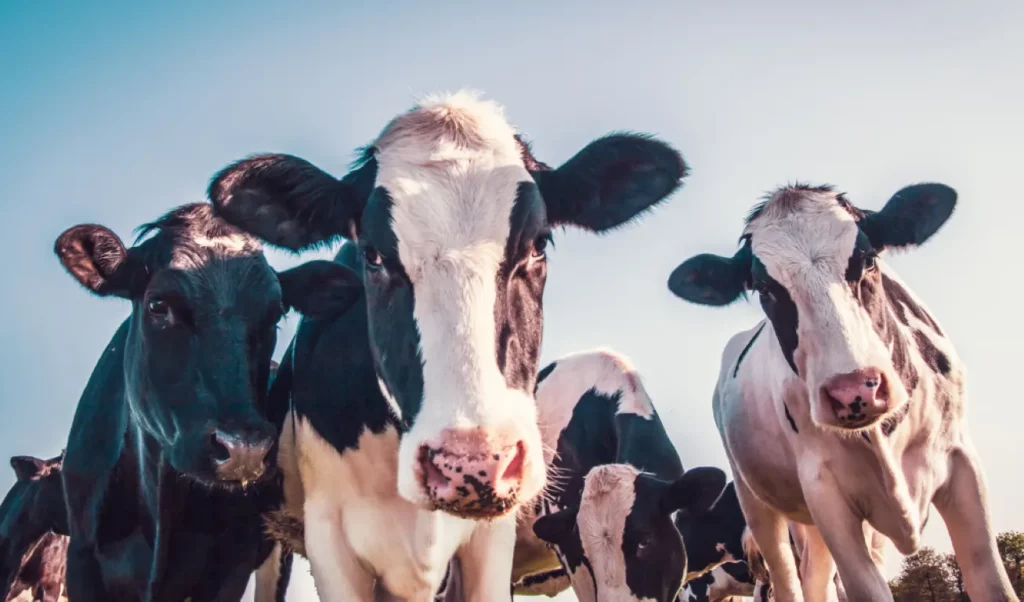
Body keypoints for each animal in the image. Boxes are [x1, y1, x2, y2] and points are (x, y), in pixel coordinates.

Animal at [663, 183, 1015, 602]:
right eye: (764, 288)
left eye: (867, 259)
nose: (853, 391)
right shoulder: (825, 492)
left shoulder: (962, 461)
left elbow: (991, 582)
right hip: (759, 506)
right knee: (791, 580)